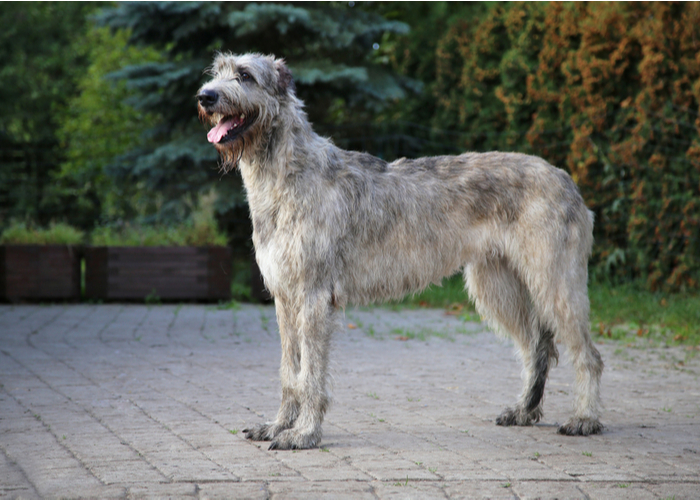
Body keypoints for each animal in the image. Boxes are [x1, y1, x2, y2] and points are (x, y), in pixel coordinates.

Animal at [196, 52, 600, 452]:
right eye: (217, 71)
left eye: (245, 75)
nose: (205, 96)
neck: (285, 175)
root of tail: (567, 179)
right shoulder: (284, 297)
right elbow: (288, 370)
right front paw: (278, 425)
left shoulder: (313, 296)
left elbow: (309, 372)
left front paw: (304, 433)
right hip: (495, 285)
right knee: (535, 346)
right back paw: (524, 410)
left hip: (554, 282)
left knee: (587, 353)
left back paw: (585, 418)